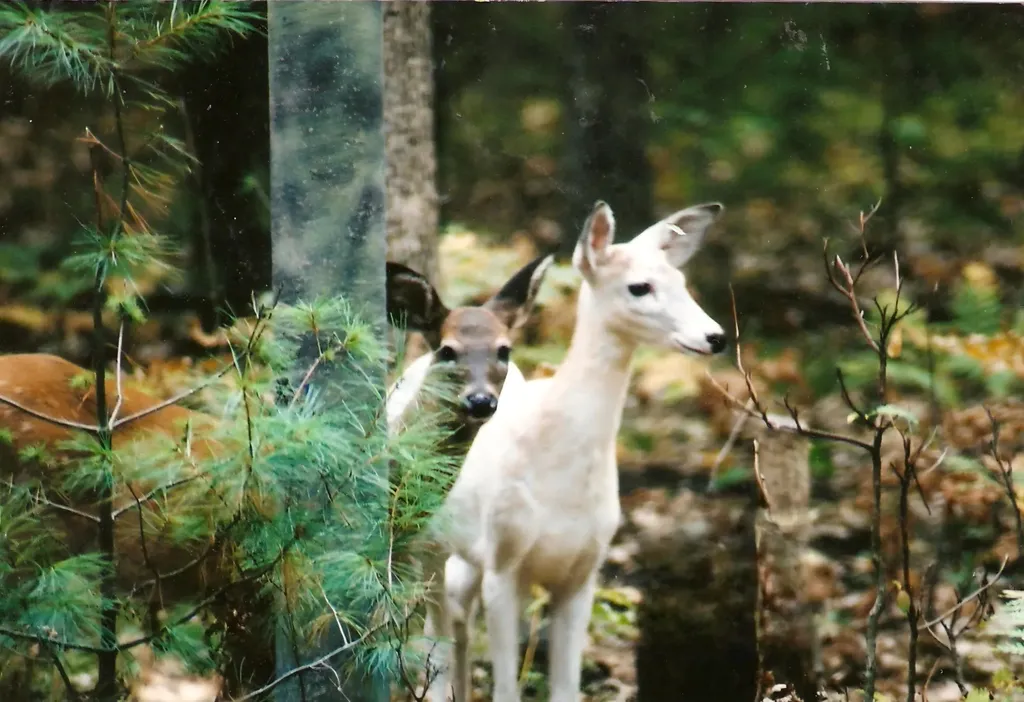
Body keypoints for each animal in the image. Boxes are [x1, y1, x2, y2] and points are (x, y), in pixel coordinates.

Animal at [425, 200, 728, 702]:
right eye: (639, 286)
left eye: (681, 282)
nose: (715, 336)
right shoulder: (504, 562)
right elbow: (506, 690)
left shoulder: (583, 572)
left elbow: (566, 688)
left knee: (456, 617)